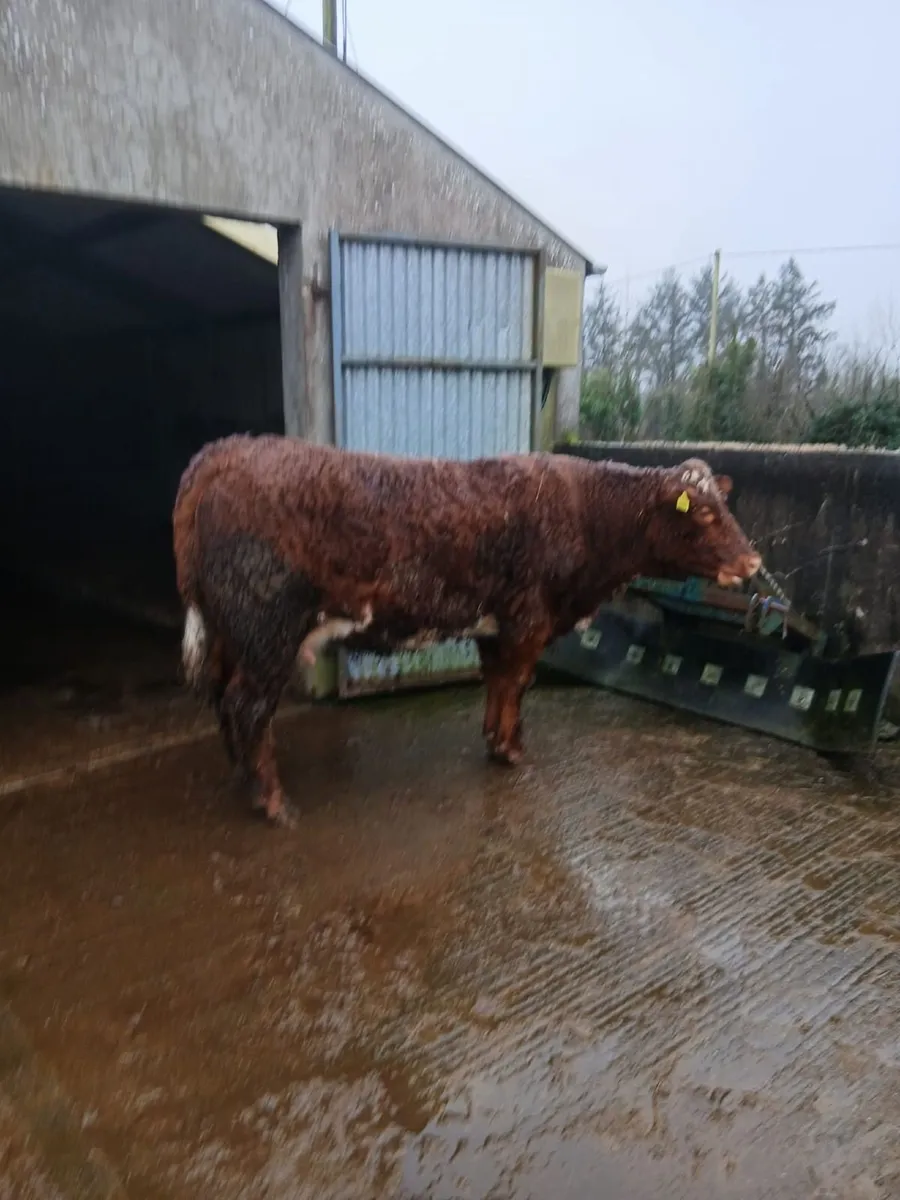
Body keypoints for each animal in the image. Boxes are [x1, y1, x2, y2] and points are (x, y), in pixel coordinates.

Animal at [172, 434, 761, 825]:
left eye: (725, 505)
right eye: (704, 514)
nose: (753, 561)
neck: (586, 513)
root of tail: (228, 450)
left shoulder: (497, 624)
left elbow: (498, 682)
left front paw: (495, 738)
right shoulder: (529, 618)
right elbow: (518, 683)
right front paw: (511, 749)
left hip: (233, 637)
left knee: (225, 700)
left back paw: (244, 779)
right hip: (266, 631)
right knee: (248, 706)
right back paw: (273, 801)